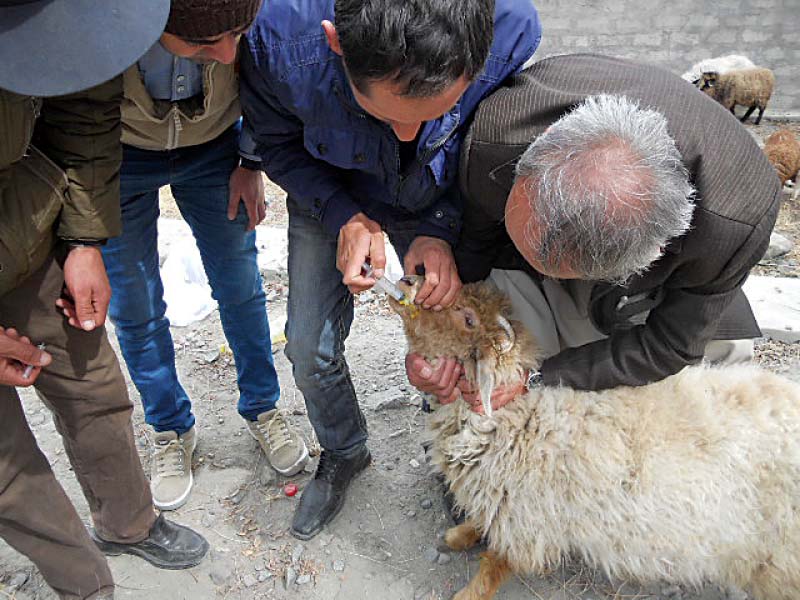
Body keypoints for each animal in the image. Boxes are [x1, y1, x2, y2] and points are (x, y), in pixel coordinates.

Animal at [390, 278, 800, 600]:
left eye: (468, 318)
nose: (408, 280)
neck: (520, 415)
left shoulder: (528, 519)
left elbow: (495, 563)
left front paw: (468, 592)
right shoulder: (505, 500)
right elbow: (483, 521)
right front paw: (460, 535)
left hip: (780, 563)